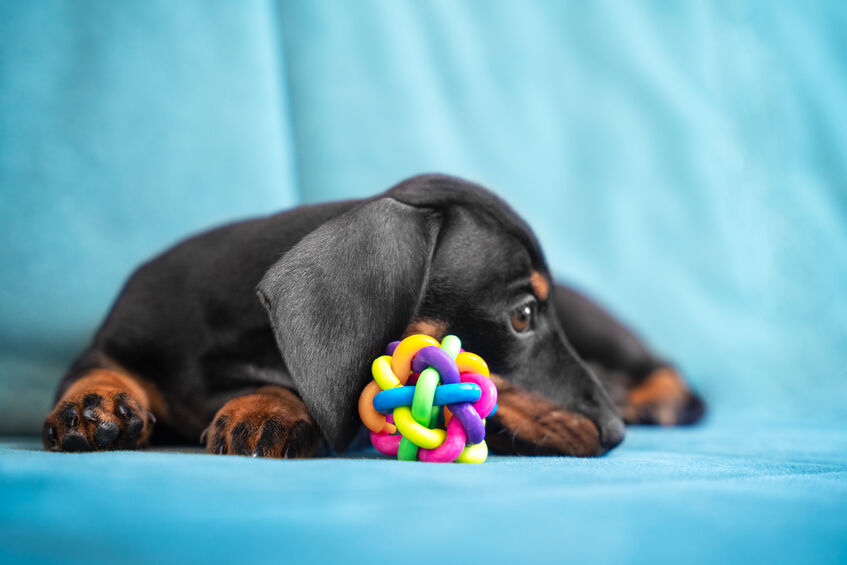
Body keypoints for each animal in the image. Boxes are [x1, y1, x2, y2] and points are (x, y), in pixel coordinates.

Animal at [44, 174, 708, 456]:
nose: (616, 433)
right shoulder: (118, 334)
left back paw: (648, 399)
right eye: (522, 316)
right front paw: (93, 405)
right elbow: (96, 366)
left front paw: (268, 408)